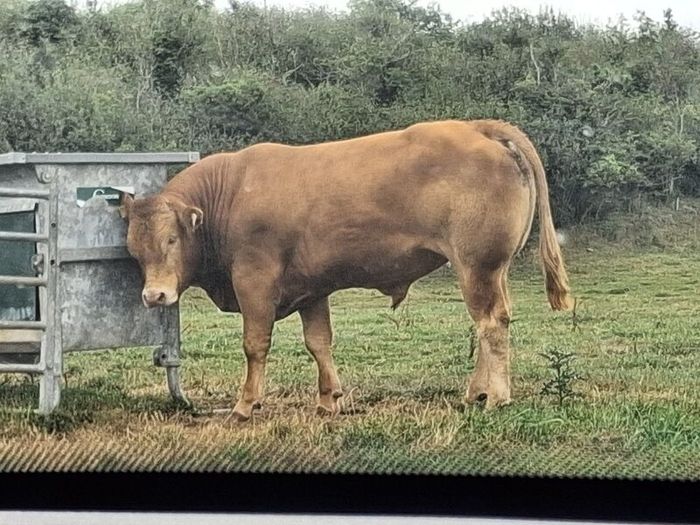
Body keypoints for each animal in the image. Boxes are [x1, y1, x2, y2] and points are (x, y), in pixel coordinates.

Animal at [120, 119, 573, 420]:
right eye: (133, 248)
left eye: (172, 240)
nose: (154, 296)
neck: (230, 193)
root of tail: (478, 127)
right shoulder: (311, 288)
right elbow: (319, 343)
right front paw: (328, 398)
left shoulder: (254, 282)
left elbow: (255, 345)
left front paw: (246, 404)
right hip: (492, 270)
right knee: (490, 324)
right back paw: (475, 393)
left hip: (477, 266)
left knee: (490, 323)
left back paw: (494, 396)